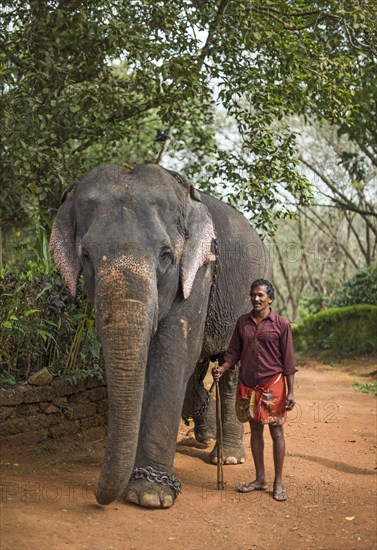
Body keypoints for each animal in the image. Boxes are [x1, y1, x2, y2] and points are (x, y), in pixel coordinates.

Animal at [48, 162, 268, 512]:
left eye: (166, 255)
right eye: (86, 256)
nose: (97, 496)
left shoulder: (199, 271)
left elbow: (173, 353)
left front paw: (149, 496)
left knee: (229, 368)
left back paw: (227, 458)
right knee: (198, 372)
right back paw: (206, 435)